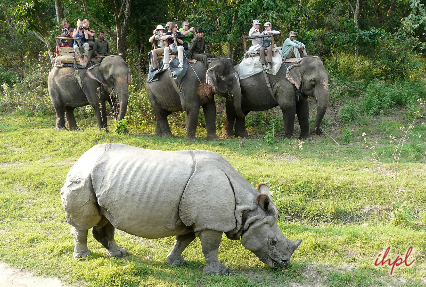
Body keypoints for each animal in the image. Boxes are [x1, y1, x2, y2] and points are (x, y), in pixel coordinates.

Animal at [60, 143, 302, 276]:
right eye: (272, 242)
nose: (284, 264)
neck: (246, 210)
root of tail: (82, 156)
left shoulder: (192, 218)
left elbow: (184, 240)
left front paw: (175, 262)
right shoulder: (210, 223)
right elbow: (210, 246)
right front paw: (219, 272)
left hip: (99, 177)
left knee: (107, 219)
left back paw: (119, 253)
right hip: (83, 176)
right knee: (83, 223)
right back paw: (83, 257)